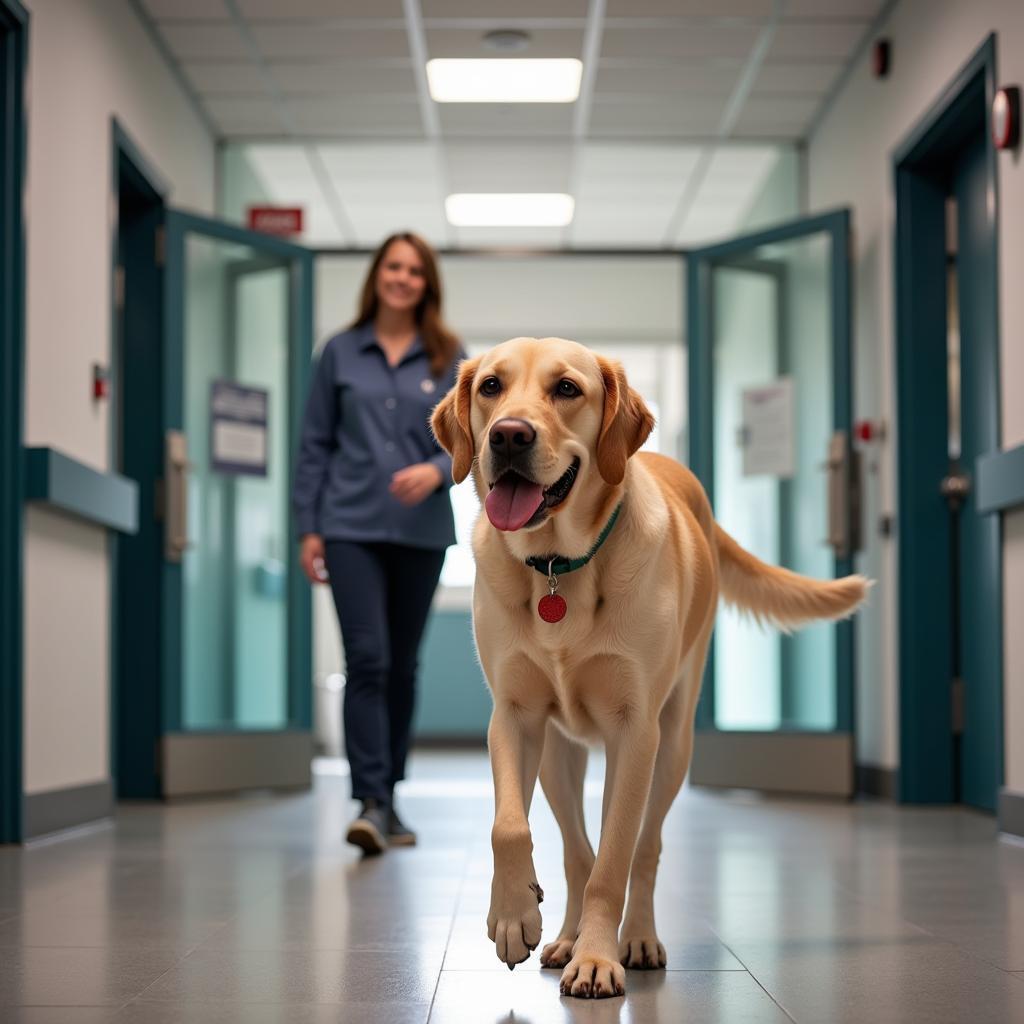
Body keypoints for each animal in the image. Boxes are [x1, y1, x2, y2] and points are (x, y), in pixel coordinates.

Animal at [428, 339, 868, 995]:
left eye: (566, 388)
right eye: (490, 387)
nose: (507, 436)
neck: (558, 566)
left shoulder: (635, 730)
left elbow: (617, 857)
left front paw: (598, 958)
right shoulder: (514, 715)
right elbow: (510, 826)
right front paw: (513, 916)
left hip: (672, 745)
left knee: (643, 847)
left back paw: (633, 937)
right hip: (559, 756)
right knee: (576, 851)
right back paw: (565, 934)